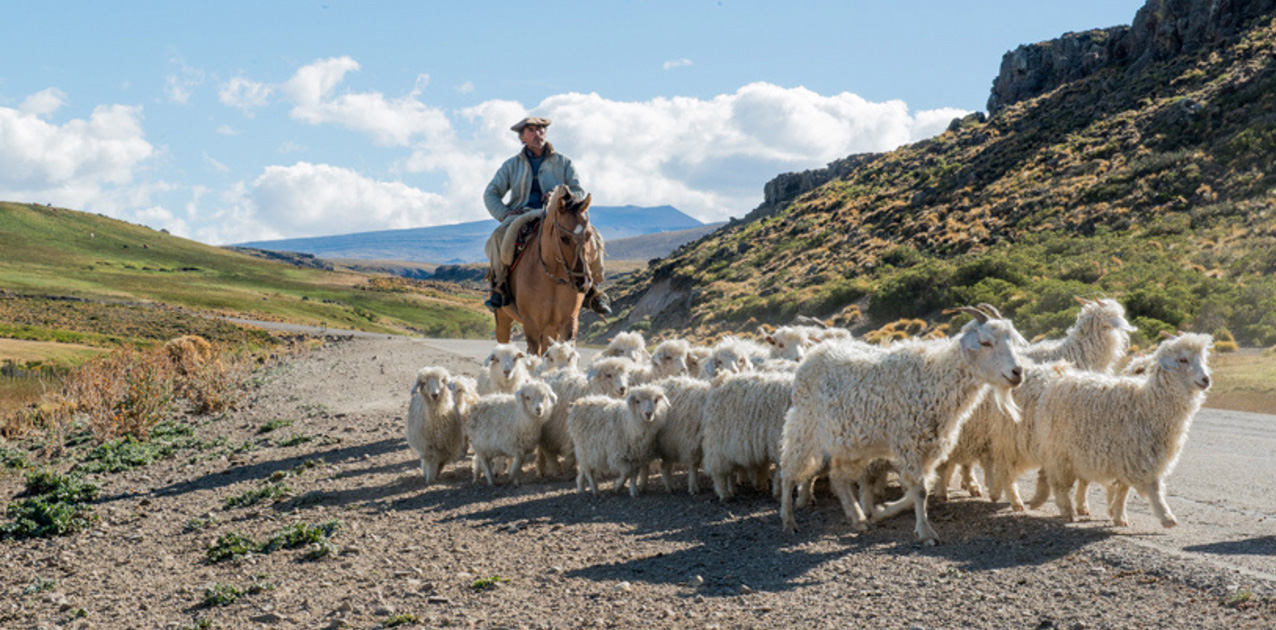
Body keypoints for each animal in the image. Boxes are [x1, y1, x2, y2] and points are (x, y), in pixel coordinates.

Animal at [497, 186, 597, 354]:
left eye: (589, 235)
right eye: (563, 237)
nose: (583, 283)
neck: (552, 279)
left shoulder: (568, 323)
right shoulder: (532, 326)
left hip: (550, 329)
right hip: (503, 318)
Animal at [699, 369, 796, 502]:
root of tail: (720, 380)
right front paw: (778, 493)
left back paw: (735, 490)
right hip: (719, 442)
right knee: (718, 471)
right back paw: (724, 494)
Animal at [775, 307, 1025, 543]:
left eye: (1012, 340)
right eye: (985, 342)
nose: (1017, 372)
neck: (936, 378)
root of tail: (812, 356)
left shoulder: (929, 447)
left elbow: (920, 489)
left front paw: (881, 511)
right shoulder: (909, 444)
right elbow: (920, 490)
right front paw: (926, 533)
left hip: (853, 444)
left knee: (837, 476)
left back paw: (858, 519)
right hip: (804, 427)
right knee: (788, 470)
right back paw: (788, 521)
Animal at [1031, 331, 1209, 527]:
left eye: (1203, 358)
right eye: (1183, 359)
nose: (1206, 380)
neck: (1148, 403)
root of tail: (1060, 377)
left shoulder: (1129, 457)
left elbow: (1124, 489)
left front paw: (1119, 516)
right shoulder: (1136, 455)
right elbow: (1152, 487)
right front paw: (1166, 517)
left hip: (1079, 449)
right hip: (1059, 449)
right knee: (1059, 482)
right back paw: (1066, 510)